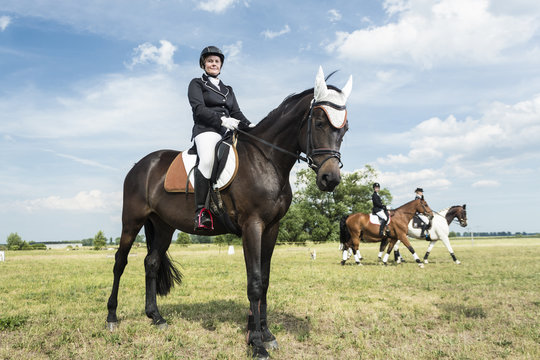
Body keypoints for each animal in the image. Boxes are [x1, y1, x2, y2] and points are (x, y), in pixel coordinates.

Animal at [106, 68, 354, 360]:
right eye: (319, 123)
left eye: (345, 128)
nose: (330, 179)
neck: (267, 159)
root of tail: (142, 164)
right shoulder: (252, 226)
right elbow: (254, 282)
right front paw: (257, 343)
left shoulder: (271, 227)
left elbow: (264, 280)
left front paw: (265, 334)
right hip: (131, 222)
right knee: (120, 262)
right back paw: (111, 317)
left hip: (164, 226)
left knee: (152, 263)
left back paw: (156, 317)